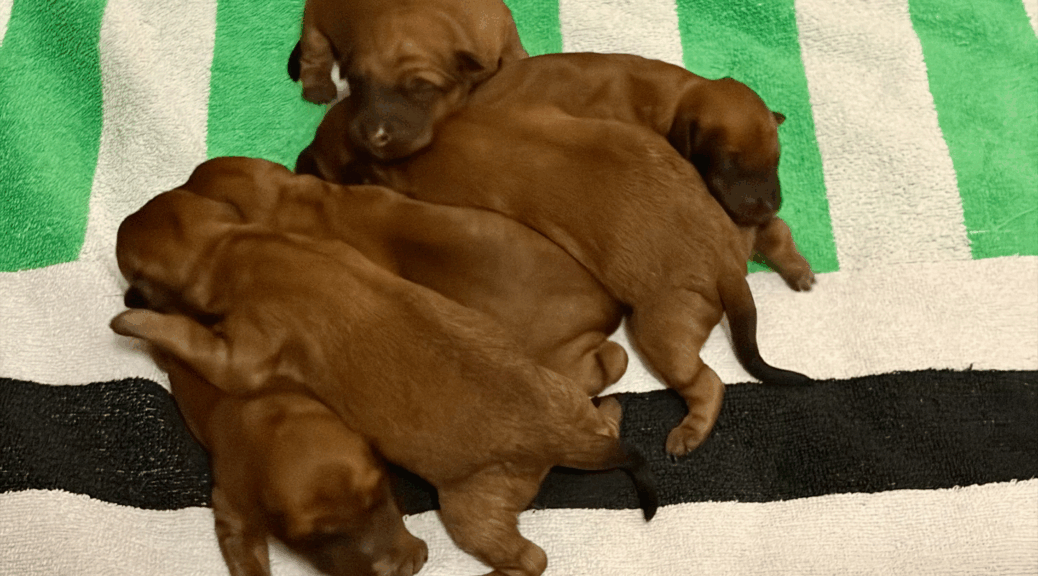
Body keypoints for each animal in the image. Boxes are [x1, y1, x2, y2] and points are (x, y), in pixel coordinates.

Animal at [288, 0, 528, 161]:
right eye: (356, 82)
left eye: (424, 88)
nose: (375, 138)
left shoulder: (500, 26)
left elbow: (512, 49)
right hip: (314, 23)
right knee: (314, 54)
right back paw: (317, 87)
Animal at [295, 59, 812, 457]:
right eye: (731, 163)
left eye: (775, 160)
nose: (298, 164)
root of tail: (725, 266)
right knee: (768, 239)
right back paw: (795, 266)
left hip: (661, 326)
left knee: (708, 382)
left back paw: (689, 430)